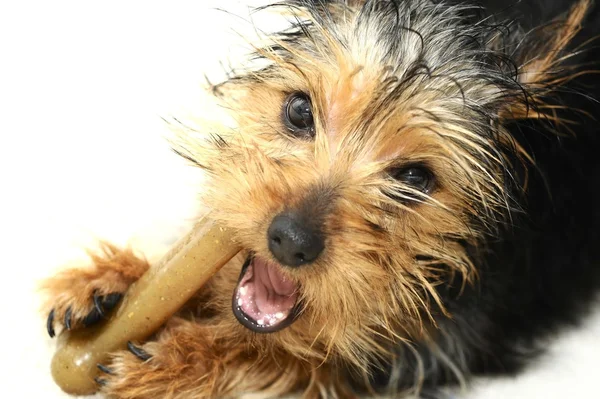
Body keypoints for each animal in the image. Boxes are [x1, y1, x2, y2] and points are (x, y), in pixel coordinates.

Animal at [42, 0, 600, 398]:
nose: (290, 240)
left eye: (415, 177)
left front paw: (183, 355)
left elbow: (294, 355)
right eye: (298, 111)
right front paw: (111, 281)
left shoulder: (441, 347)